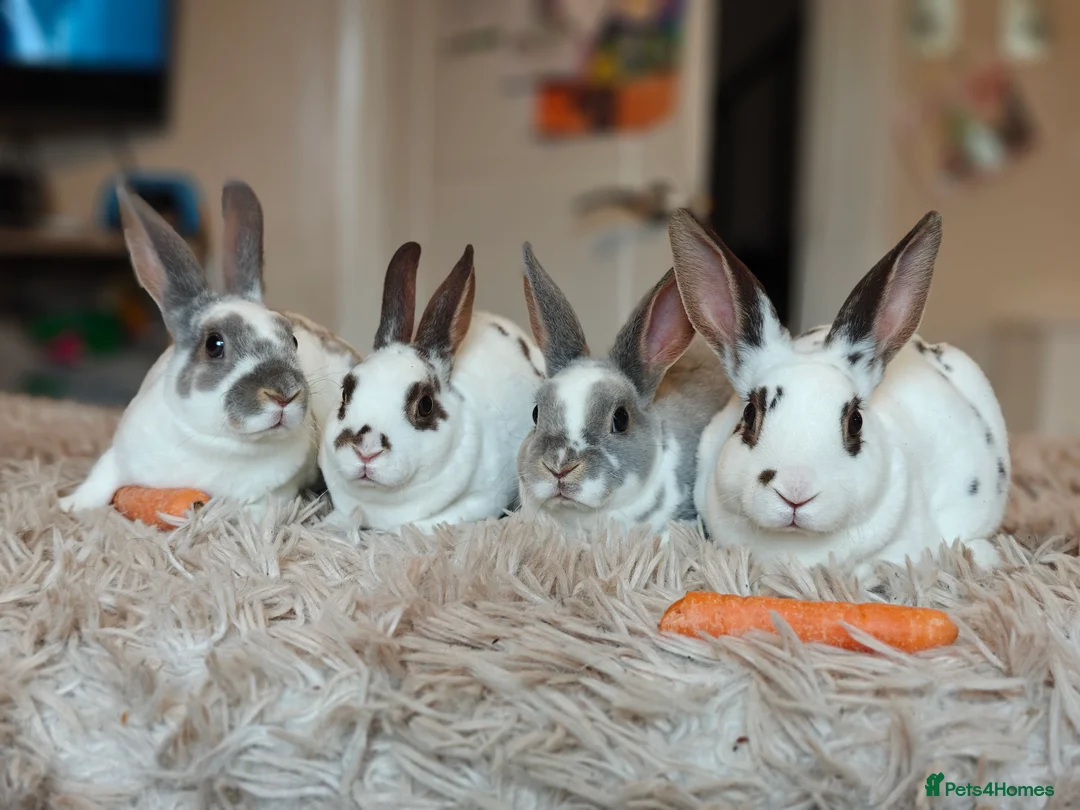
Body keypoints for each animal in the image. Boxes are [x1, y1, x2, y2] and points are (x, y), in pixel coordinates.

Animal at [59, 181, 360, 515]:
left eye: (292, 340)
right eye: (214, 345)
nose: (284, 393)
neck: (219, 443)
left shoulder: (279, 492)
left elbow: (260, 511)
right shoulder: (119, 455)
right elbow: (99, 479)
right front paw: (69, 506)